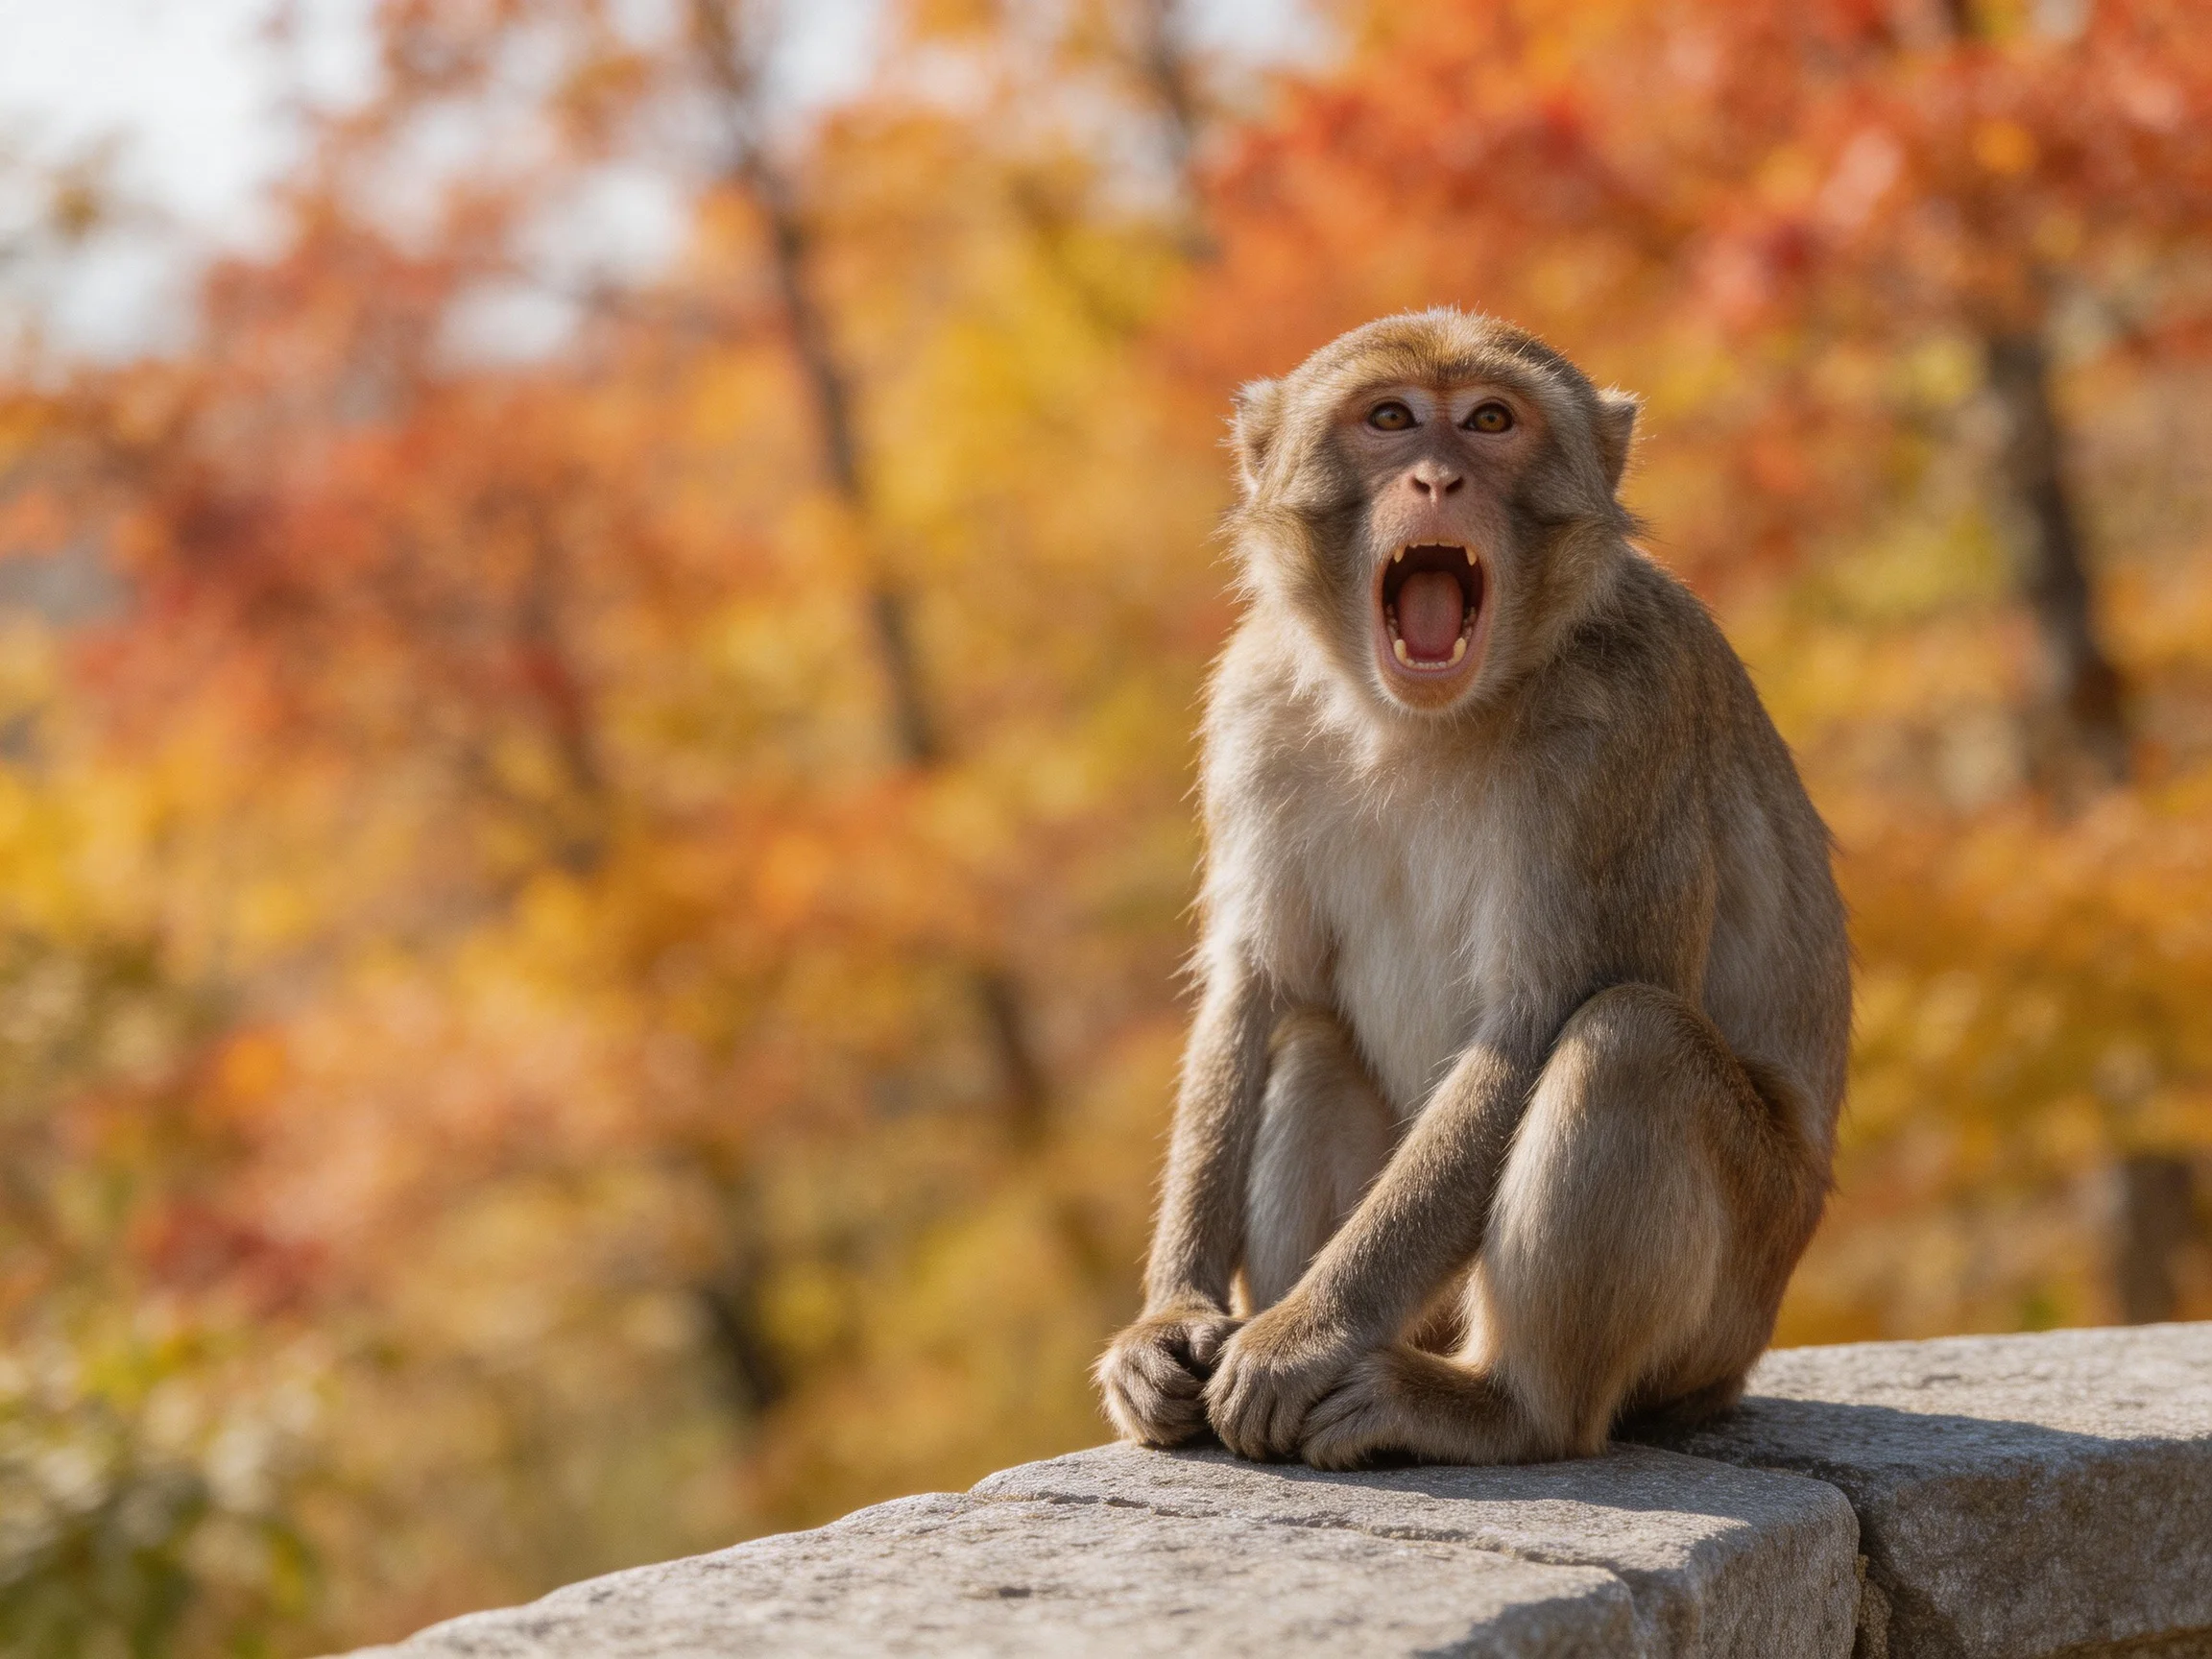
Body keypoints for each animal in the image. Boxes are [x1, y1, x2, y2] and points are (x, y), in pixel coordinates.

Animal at [1094, 309, 1849, 1470]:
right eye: (1391, 419)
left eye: (1490, 421)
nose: (1438, 478)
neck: (1421, 720)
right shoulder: (1253, 702)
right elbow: (1257, 986)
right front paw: (1169, 1322)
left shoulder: (1623, 724)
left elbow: (1538, 1022)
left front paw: (1305, 1337)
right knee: (1312, 1045)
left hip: (1731, 1305)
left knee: (1630, 1039)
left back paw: (1501, 1406)